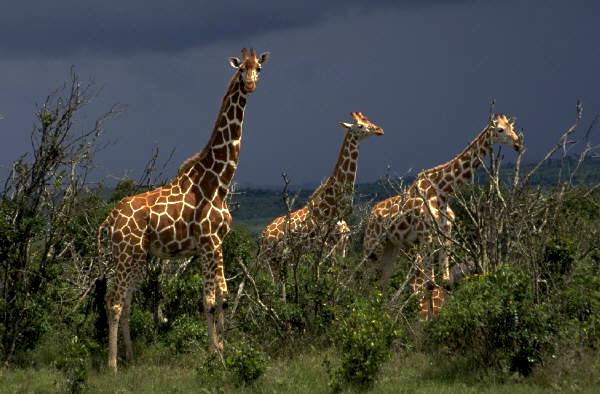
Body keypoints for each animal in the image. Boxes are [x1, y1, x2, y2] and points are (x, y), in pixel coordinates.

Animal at [98, 47, 270, 370]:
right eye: (241, 68)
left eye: (259, 68)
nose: (251, 85)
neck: (219, 182)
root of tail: (110, 219)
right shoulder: (208, 242)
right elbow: (210, 302)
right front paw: (216, 356)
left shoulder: (215, 244)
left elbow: (223, 296)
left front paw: (223, 350)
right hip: (126, 253)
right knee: (113, 301)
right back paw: (112, 366)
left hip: (136, 257)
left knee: (125, 302)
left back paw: (131, 358)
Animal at [262, 112, 384, 280]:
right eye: (360, 125)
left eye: (369, 120)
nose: (379, 130)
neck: (332, 207)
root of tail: (262, 236)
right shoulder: (325, 247)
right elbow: (320, 277)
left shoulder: (341, 247)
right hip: (271, 260)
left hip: (282, 260)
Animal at [364, 113, 524, 320]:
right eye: (500, 130)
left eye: (512, 127)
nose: (518, 144)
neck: (443, 191)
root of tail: (371, 215)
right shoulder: (426, 236)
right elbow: (430, 284)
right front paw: (427, 323)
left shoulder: (445, 234)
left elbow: (446, 281)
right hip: (373, 247)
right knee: (367, 282)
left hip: (392, 246)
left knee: (382, 282)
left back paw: (383, 316)